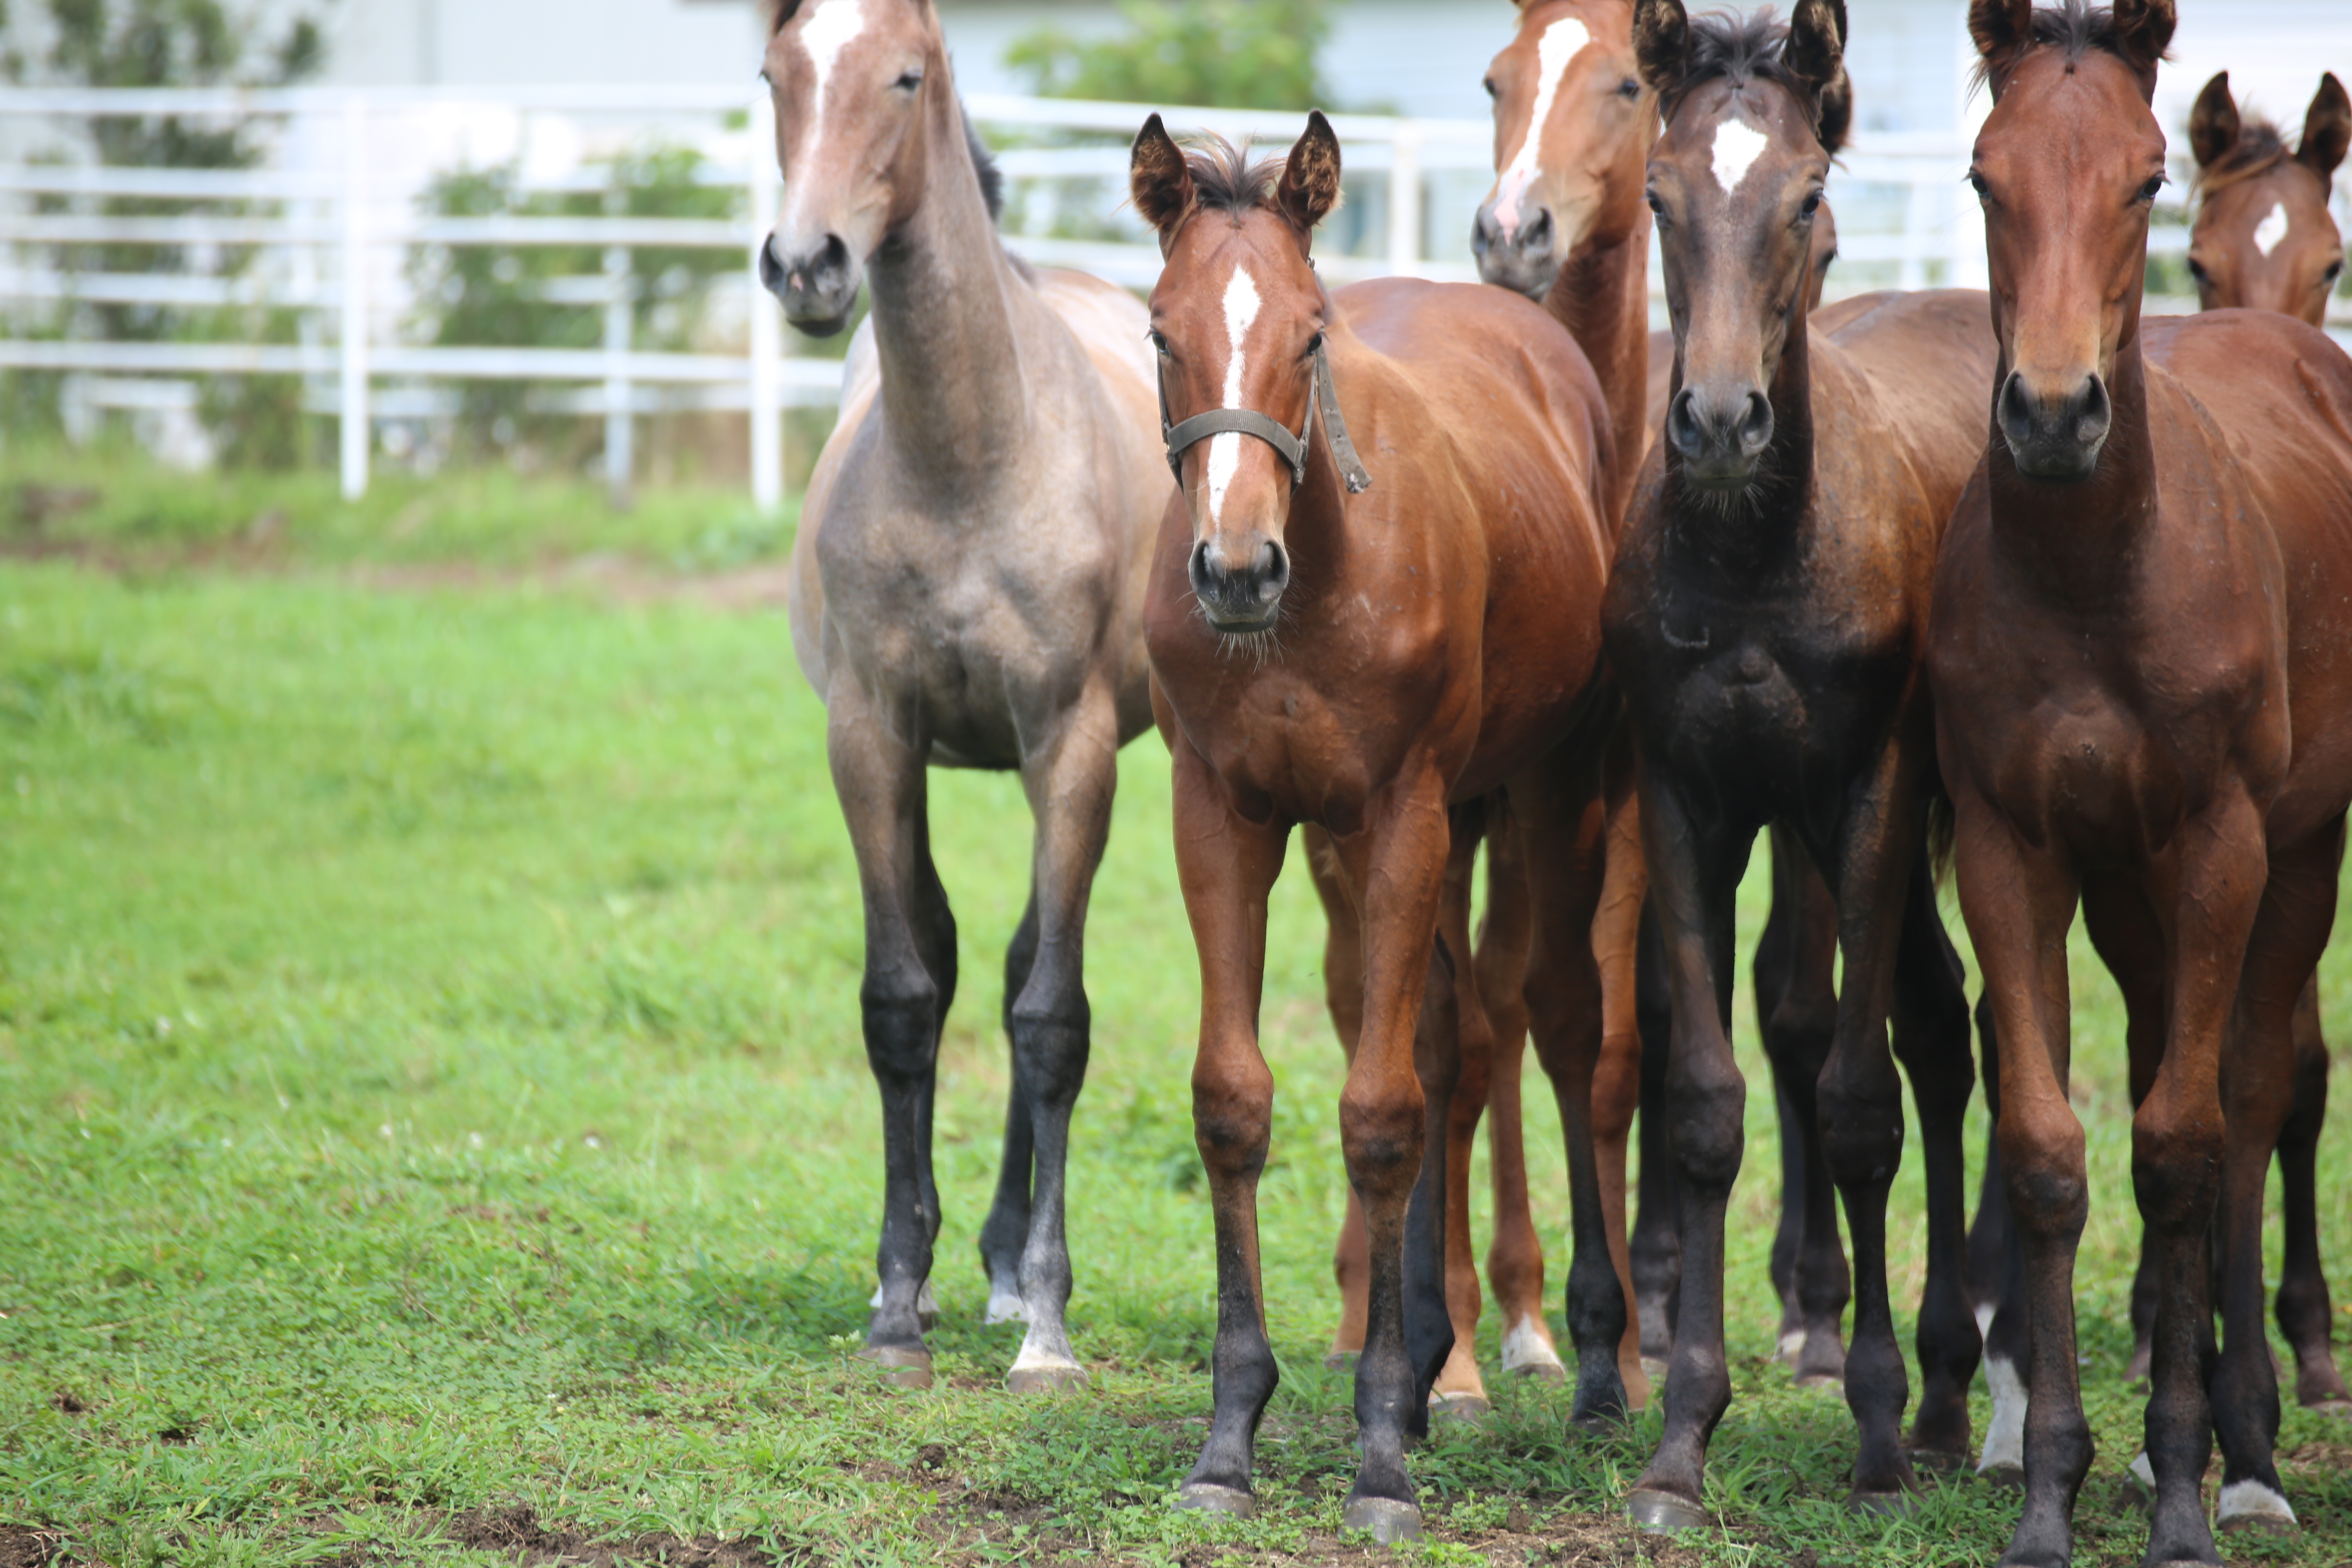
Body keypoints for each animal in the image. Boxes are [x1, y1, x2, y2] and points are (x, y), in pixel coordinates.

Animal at [762, 0, 1166, 1401]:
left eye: (903, 77)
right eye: (774, 77)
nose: (808, 264)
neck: (973, 456)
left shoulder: (1072, 745)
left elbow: (1052, 1018)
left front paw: (1047, 1324)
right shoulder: (870, 738)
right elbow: (902, 997)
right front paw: (897, 1298)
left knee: (1030, 977)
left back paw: (1007, 1271)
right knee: (957, 965)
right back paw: (957, 1268)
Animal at [1138, 116, 1637, 1542]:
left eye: (1310, 334)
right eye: (1159, 331)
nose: (1233, 568)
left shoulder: (1404, 804)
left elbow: (1378, 1111)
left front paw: (1376, 1461)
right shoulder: (1224, 811)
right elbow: (1237, 1099)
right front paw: (1233, 1433)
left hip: (1553, 786)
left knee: (1562, 1031)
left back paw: (1592, 1374)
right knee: (1438, 1029)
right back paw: (1426, 1367)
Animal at [1929, 6, 2352, 1561]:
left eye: (2145, 179)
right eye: (1985, 175)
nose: (2055, 416)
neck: (2098, 574)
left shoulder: (2223, 847)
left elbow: (2181, 1144)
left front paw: (2184, 1481)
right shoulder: (2017, 849)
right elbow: (2052, 1146)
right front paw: (2052, 1479)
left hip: (2295, 858)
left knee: (2254, 1093)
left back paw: (2249, 1440)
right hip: (2127, 890)